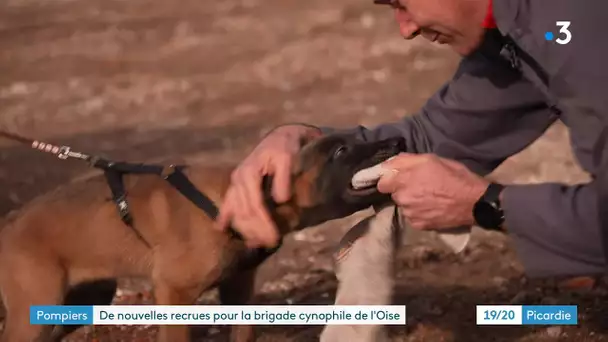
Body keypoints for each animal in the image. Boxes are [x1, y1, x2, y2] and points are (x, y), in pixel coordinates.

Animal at [0, 133, 404, 342]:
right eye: (341, 151)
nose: (398, 138)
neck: (234, 203)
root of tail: (10, 221)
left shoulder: (239, 287)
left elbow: (243, 333)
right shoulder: (173, 292)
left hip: (80, 299)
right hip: (36, 308)